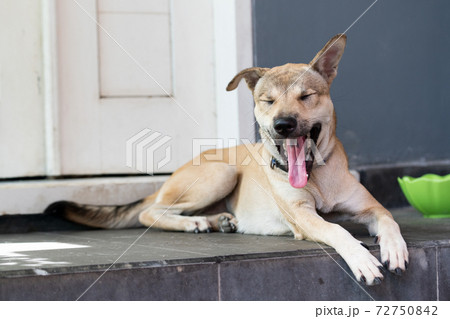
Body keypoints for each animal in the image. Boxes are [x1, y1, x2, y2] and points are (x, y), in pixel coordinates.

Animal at [45, 33, 408, 286]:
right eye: (267, 101)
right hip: (221, 174)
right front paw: (361, 259)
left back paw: (218, 220)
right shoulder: (304, 217)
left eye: (306, 96)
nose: (283, 124)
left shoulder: (371, 207)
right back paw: (195, 222)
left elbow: (389, 219)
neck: (316, 174)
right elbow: (338, 230)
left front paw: (394, 248)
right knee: (151, 213)